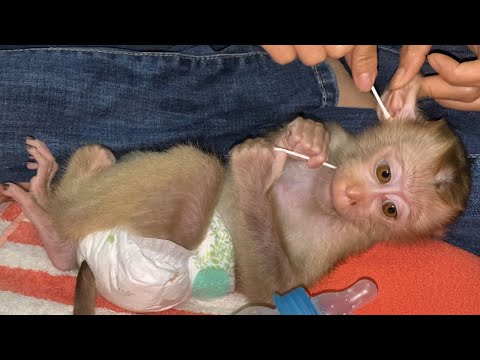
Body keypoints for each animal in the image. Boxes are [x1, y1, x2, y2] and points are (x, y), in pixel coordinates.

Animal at [1, 77, 470, 314]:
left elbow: (272, 287)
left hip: (142, 271)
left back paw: (53, 230)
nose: (354, 197)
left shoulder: (344, 238)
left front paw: (253, 170)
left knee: (197, 172)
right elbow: (312, 138)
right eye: (384, 171)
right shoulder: (341, 142)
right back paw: (47, 203)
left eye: (390, 210)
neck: (325, 190)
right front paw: (306, 137)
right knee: (101, 156)